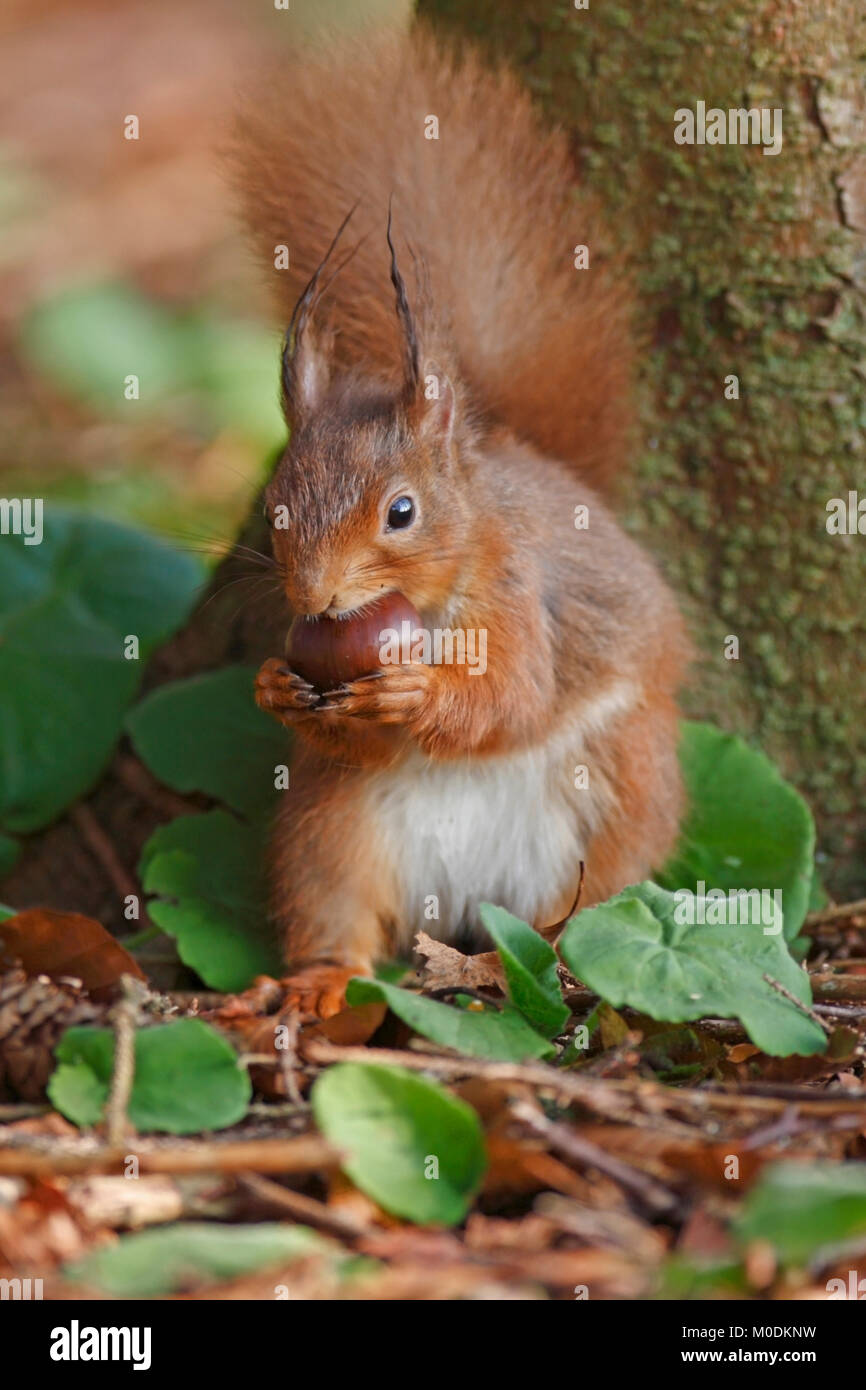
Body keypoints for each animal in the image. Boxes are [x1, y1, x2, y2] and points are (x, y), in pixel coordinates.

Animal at [232, 24, 692, 1023]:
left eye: (402, 512)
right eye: (277, 503)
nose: (315, 599)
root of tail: (469, 904)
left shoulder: (518, 601)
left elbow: (513, 697)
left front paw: (418, 695)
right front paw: (275, 687)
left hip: (619, 787)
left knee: (594, 903)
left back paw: (563, 955)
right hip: (331, 827)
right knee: (338, 910)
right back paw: (321, 980)